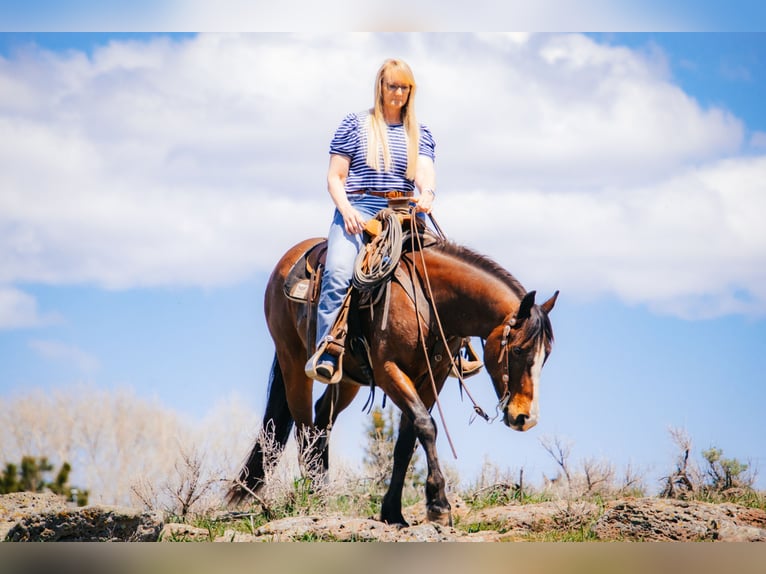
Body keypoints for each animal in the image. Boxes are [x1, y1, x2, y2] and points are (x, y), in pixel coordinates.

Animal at [228, 234, 560, 528]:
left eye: (546, 355)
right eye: (518, 349)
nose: (525, 418)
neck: (431, 300)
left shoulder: (433, 378)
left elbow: (406, 440)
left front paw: (393, 512)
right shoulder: (390, 371)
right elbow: (426, 426)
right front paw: (438, 505)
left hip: (346, 380)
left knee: (322, 422)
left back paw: (321, 495)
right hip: (294, 364)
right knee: (305, 430)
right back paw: (312, 499)